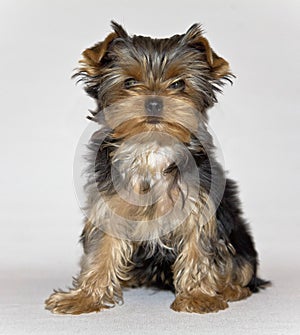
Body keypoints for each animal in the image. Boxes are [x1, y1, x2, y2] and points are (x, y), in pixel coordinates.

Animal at [45, 21, 270, 316]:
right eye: (129, 82)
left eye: (179, 84)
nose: (154, 101)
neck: (151, 146)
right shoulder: (110, 204)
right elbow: (101, 249)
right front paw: (84, 297)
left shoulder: (198, 205)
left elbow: (199, 248)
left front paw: (199, 296)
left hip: (241, 241)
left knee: (242, 269)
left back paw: (231, 288)